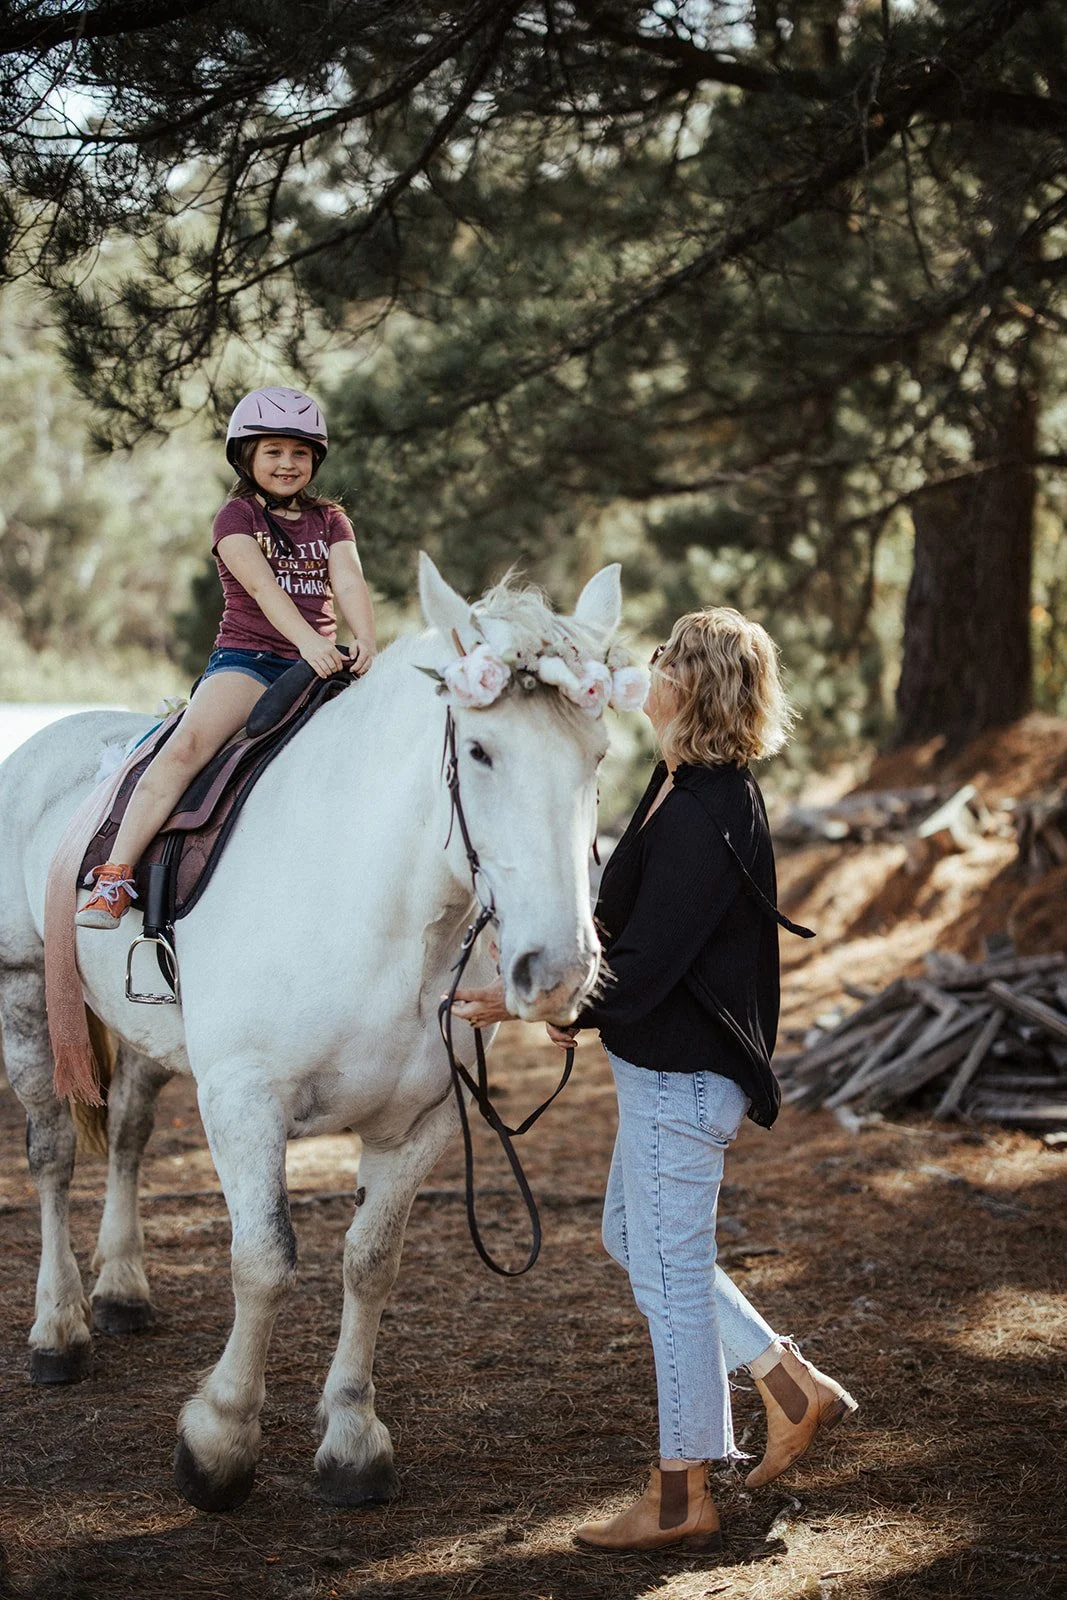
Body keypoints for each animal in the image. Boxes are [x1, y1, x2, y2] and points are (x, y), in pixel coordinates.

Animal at [0, 554, 621, 1512]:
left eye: (597, 757)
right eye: (480, 752)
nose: (555, 969)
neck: (374, 906)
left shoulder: (420, 1123)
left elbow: (371, 1261)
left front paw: (353, 1441)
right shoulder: (245, 1101)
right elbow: (264, 1261)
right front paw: (219, 1444)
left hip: (150, 1039)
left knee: (130, 1137)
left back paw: (123, 1289)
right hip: (27, 993)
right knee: (52, 1156)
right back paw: (58, 1329)